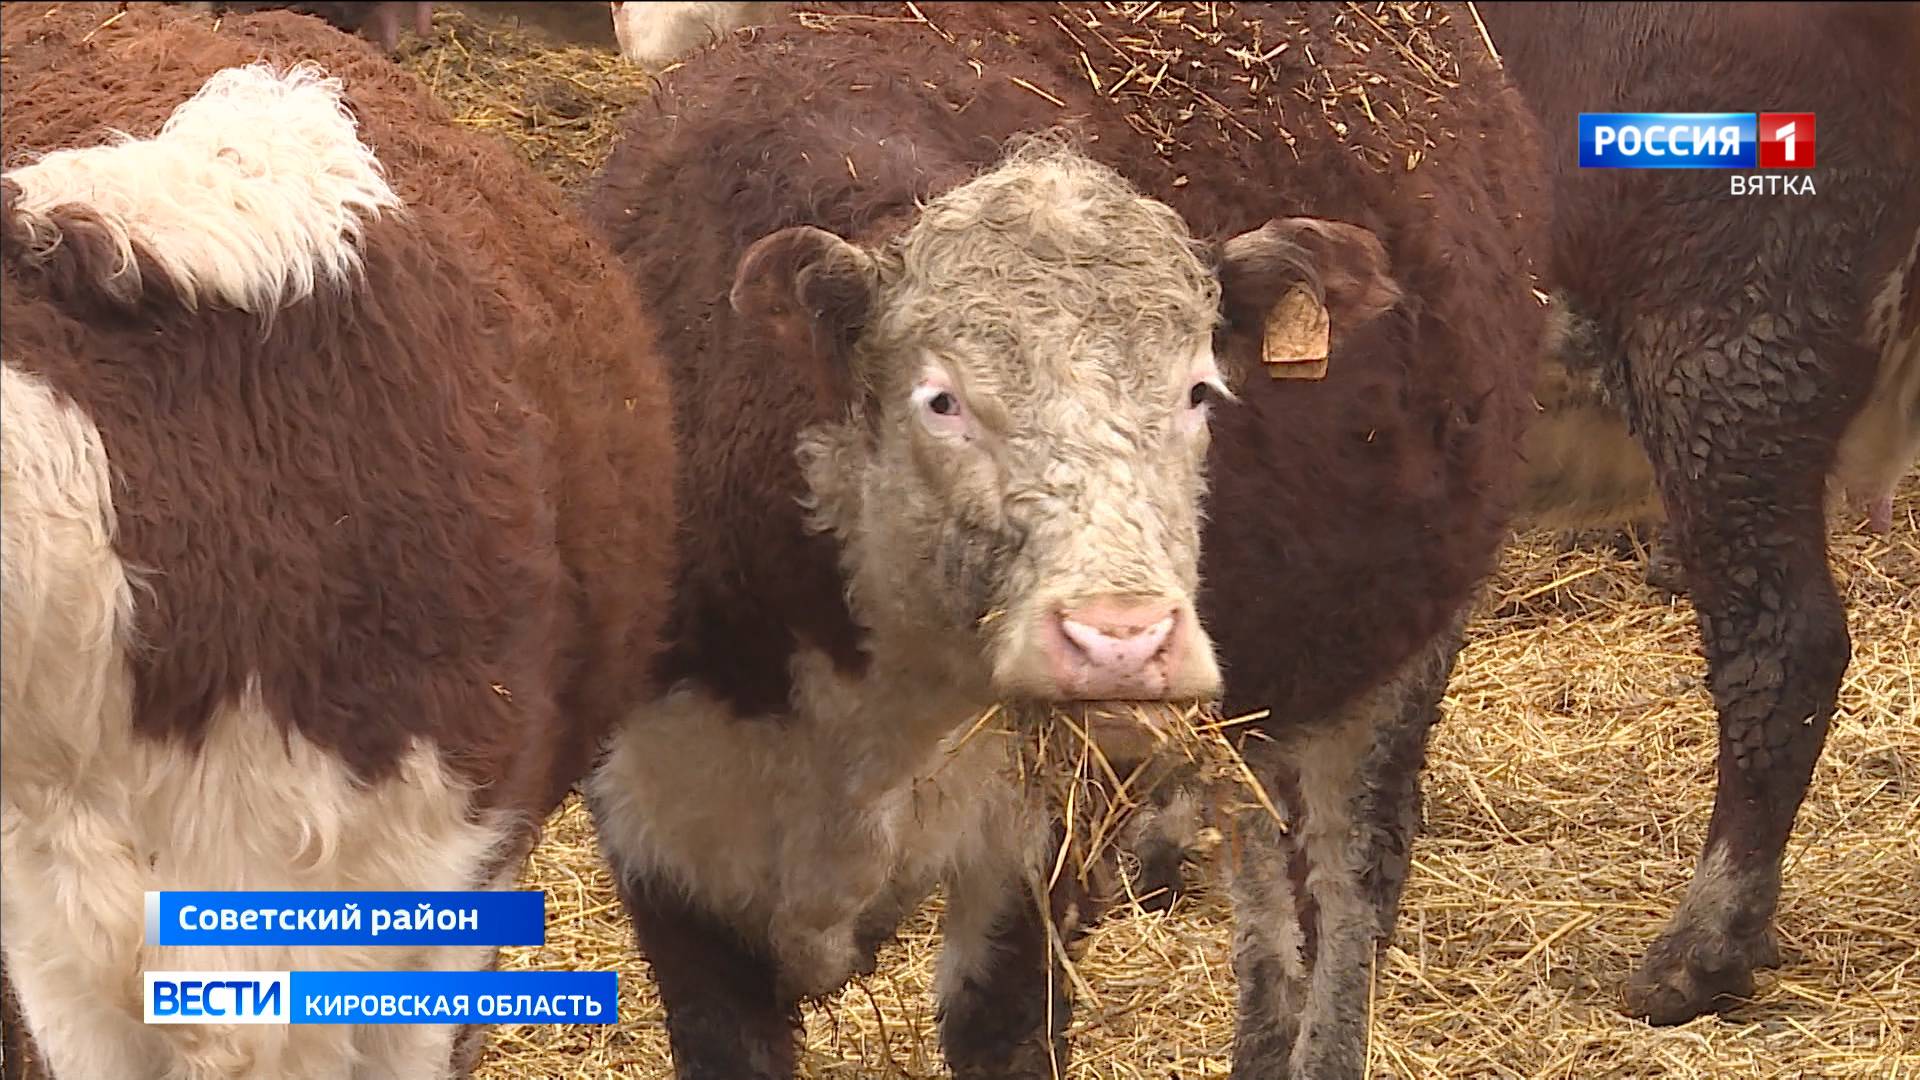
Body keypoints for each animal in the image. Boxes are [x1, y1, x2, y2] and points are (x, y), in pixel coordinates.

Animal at [579, 4, 1543, 1068]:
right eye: (942, 399)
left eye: (1199, 390)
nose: (1121, 639)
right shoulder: (663, 848)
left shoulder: (1045, 837)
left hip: (1395, 655)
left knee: (1346, 876)